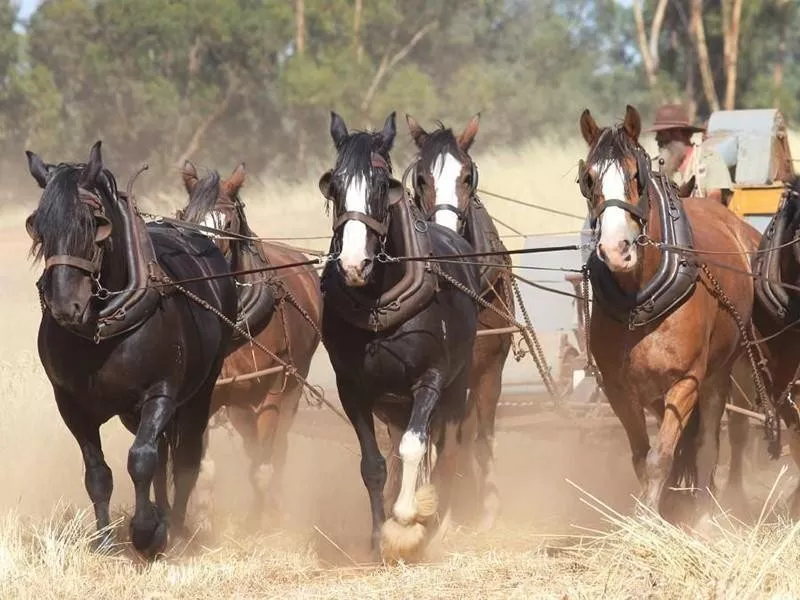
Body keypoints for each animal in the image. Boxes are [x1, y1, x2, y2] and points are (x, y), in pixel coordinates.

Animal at [25, 143, 236, 560]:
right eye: (38, 225)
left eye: (95, 223)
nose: (64, 306)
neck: (101, 329)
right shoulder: (71, 404)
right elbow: (98, 474)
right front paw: (107, 540)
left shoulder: (160, 393)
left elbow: (140, 460)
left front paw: (146, 534)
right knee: (162, 454)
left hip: (199, 390)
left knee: (182, 458)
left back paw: (177, 527)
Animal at [178, 162, 322, 524]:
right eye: (186, 218)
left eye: (227, 223)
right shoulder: (211, 395)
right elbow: (203, 467)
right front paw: (202, 520)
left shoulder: (272, 387)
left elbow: (262, 464)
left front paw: (261, 521)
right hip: (239, 402)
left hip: (292, 384)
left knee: (277, 447)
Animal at [318, 111, 482, 564]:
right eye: (334, 186)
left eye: (380, 186)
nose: (354, 264)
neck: (378, 301)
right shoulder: (351, 388)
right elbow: (374, 464)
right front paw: (378, 537)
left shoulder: (431, 378)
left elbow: (415, 447)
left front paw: (407, 521)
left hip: (457, 385)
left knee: (445, 449)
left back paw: (437, 525)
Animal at [580, 105, 764, 516]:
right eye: (588, 179)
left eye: (636, 175)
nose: (615, 249)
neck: (639, 301)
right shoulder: (619, 388)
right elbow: (641, 456)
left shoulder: (686, 381)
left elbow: (662, 456)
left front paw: (650, 520)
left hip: (728, 371)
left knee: (713, 442)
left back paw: (708, 511)